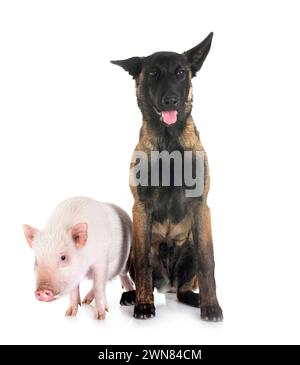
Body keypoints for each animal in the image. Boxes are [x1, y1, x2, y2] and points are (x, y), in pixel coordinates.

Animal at [112, 32, 223, 320]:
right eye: (152, 74)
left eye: (181, 73)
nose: (170, 100)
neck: (170, 142)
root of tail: (169, 285)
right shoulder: (141, 207)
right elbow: (142, 266)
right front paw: (143, 305)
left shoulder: (201, 207)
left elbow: (208, 262)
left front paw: (211, 306)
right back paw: (132, 295)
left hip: (191, 244)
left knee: (184, 290)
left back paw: (195, 299)